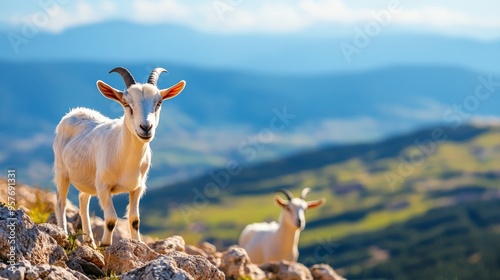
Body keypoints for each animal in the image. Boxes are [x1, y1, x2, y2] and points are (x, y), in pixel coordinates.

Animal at [53, 67, 186, 247]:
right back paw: (66, 236)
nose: (146, 127)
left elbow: (134, 219)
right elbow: (110, 219)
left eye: (159, 102)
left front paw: (137, 243)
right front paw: (105, 245)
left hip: (89, 179)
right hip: (62, 171)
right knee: (61, 203)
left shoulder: (138, 187)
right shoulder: (103, 187)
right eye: (126, 103)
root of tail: (74, 111)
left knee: (83, 199)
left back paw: (89, 241)